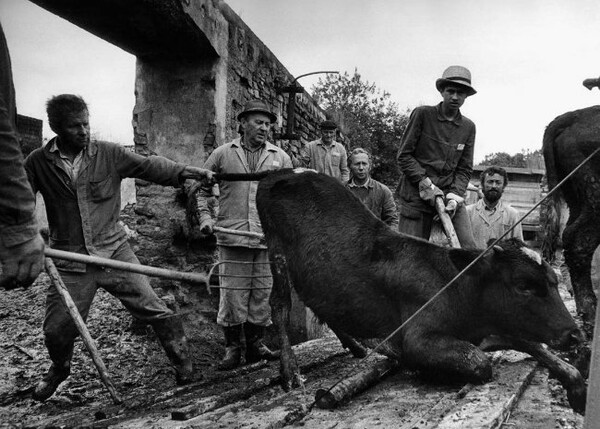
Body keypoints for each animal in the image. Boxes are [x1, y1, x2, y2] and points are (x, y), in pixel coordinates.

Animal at [254, 167, 584, 412]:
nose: (575, 334)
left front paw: (576, 388)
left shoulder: (493, 328)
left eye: (554, 280)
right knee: (279, 304)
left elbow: (540, 349)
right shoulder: (419, 339)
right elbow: (480, 363)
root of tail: (284, 171)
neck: (459, 289)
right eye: (523, 286)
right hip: (276, 248)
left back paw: (357, 346)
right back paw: (290, 371)